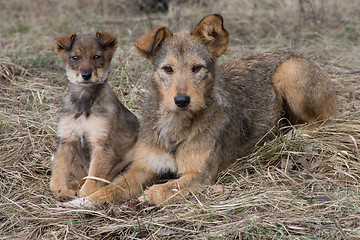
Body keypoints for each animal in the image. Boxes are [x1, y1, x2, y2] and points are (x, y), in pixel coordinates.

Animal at [50, 31, 139, 201]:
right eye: (75, 57)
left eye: (96, 57)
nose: (86, 75)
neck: (85, 101)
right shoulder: (67, 141)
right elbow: (57, 176)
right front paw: (63, 191)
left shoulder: (101, 144)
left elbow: (93, 178)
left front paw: (85, 194)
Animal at [71, 15, 336, 206]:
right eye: (168, 69)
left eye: (197, 68)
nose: (182, 100)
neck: (175, 125)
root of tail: (294, 52)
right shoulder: (143, 167)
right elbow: (112, 187)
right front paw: (85, 200)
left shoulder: (199, 174)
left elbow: (162, 189)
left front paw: (146, 197)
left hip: (290, 72)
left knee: (328, 118)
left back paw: (293, 134)